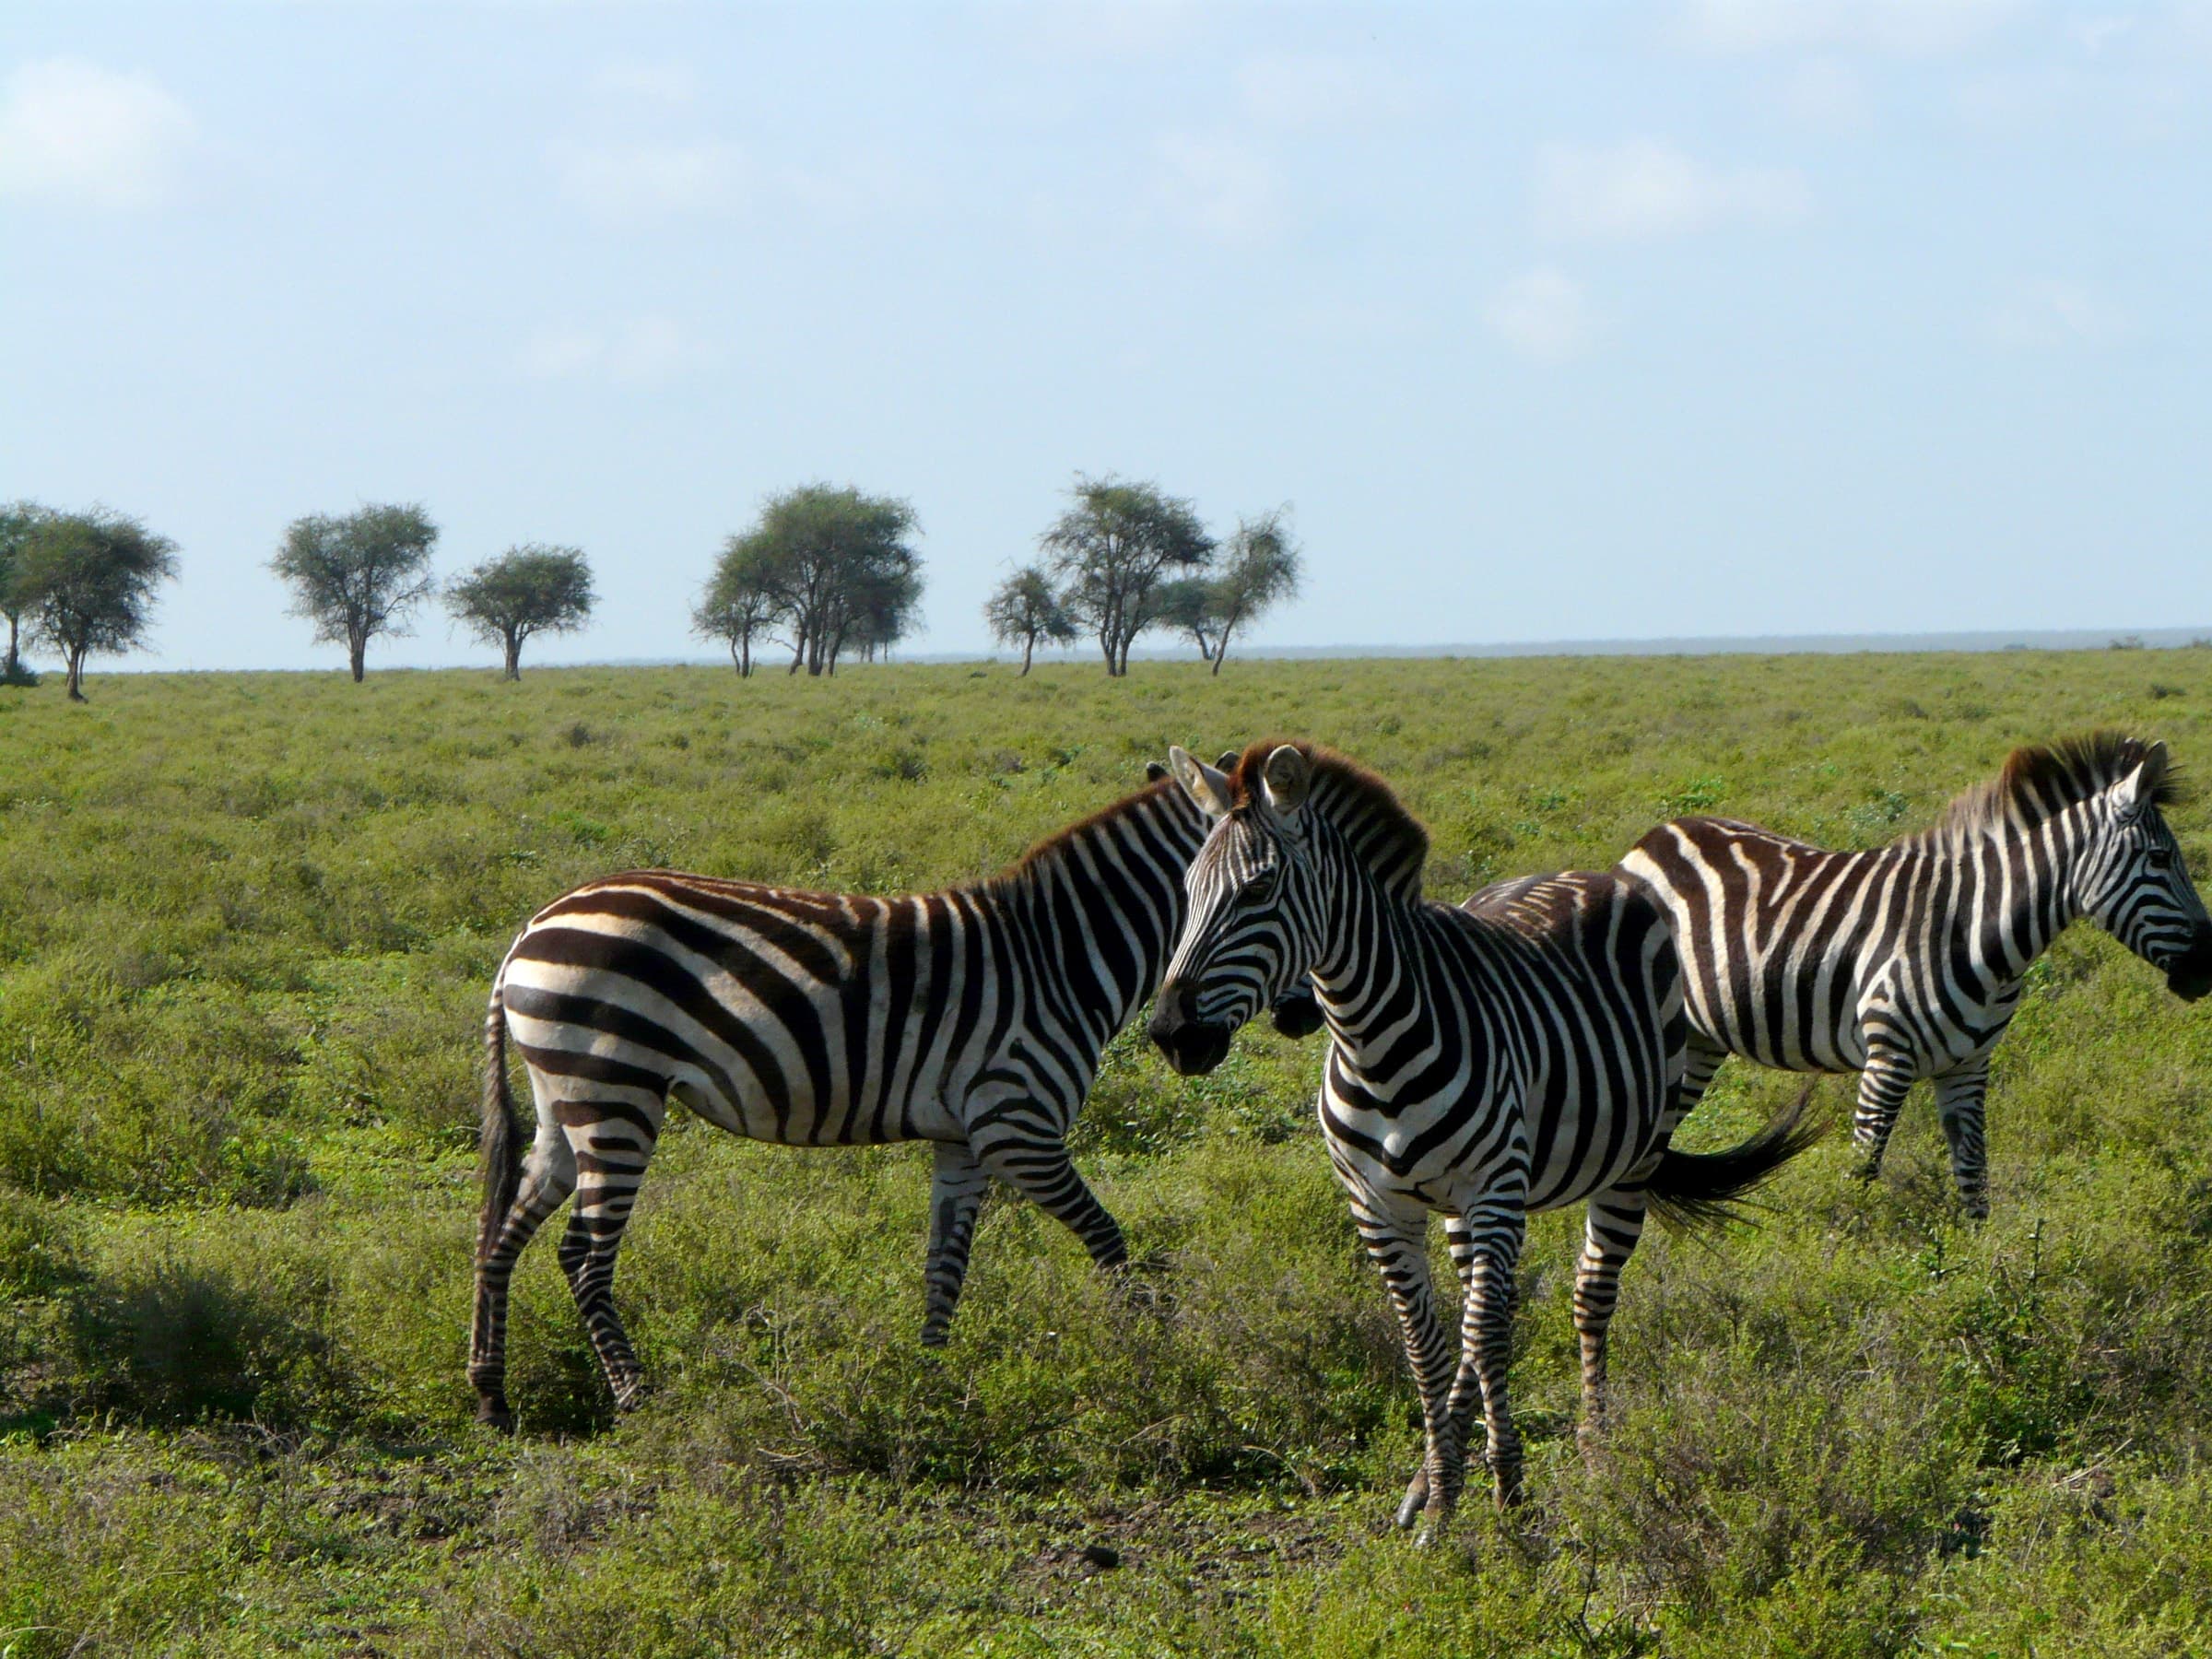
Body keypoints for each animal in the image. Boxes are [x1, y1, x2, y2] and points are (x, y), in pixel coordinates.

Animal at [467, 757, 1322, 1431]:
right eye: (1258, 898)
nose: (1308, 1015)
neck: (1059, 956)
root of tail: (530, 930)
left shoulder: (963, 1137)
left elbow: (946, 1263)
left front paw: (930, 1384)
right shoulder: (1017, 1124)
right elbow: (1107, 1238)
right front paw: (1156, 1356)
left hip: (563, 1099)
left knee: (502, 1231)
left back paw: (492, 1395)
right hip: (615, 1093)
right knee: (583, 1255)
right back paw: (635, 1395)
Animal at [1146, 741, 1818, 1530]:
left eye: (1258, 889)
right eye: (1186, 890)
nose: (1172, 1034)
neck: (1368, 1039)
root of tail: (1592, 872)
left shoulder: (1492, 1191)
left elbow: (1482, 1335)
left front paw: (1504, 1496)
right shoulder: (1380, 1209)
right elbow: (1428, 1347)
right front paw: (1440, 1490)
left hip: (1625, 1161)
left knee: (1583, 1295)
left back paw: (1595, 1450)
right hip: (1470, 1204)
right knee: (1485, 1303)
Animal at [1620, 733, 2212, 1221]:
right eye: (2160, 858)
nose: (2207, 970)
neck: (1973, 928)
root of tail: (1659, 833)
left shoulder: (1969, 1066)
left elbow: (1974, 1179)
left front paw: (1977, 1270)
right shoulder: (1889, 1058)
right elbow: (1863, 1170)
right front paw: (1846, 1259)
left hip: (1699, 1040)